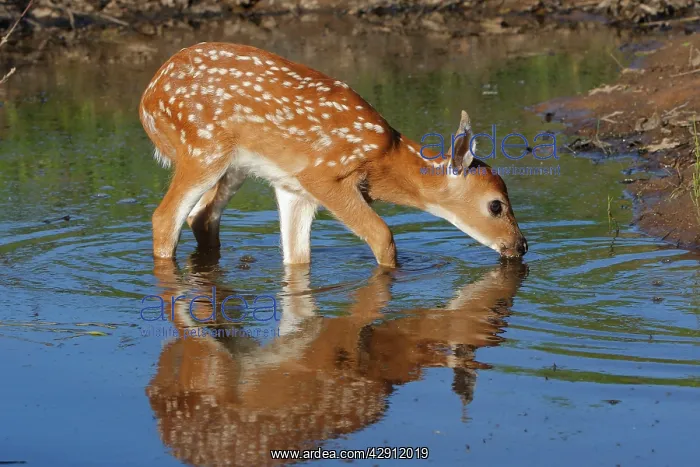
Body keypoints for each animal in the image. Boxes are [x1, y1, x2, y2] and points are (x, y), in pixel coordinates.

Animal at [139, 42, 528, 268]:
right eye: (496, 205)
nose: (521, 245)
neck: (385, 161)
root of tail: (147, 99)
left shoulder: (294, 190)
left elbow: (297, 259)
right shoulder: (322, 174)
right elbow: (383, 236)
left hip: (234, 166)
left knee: (202, 217)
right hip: (202, 148)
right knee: (165, 218)